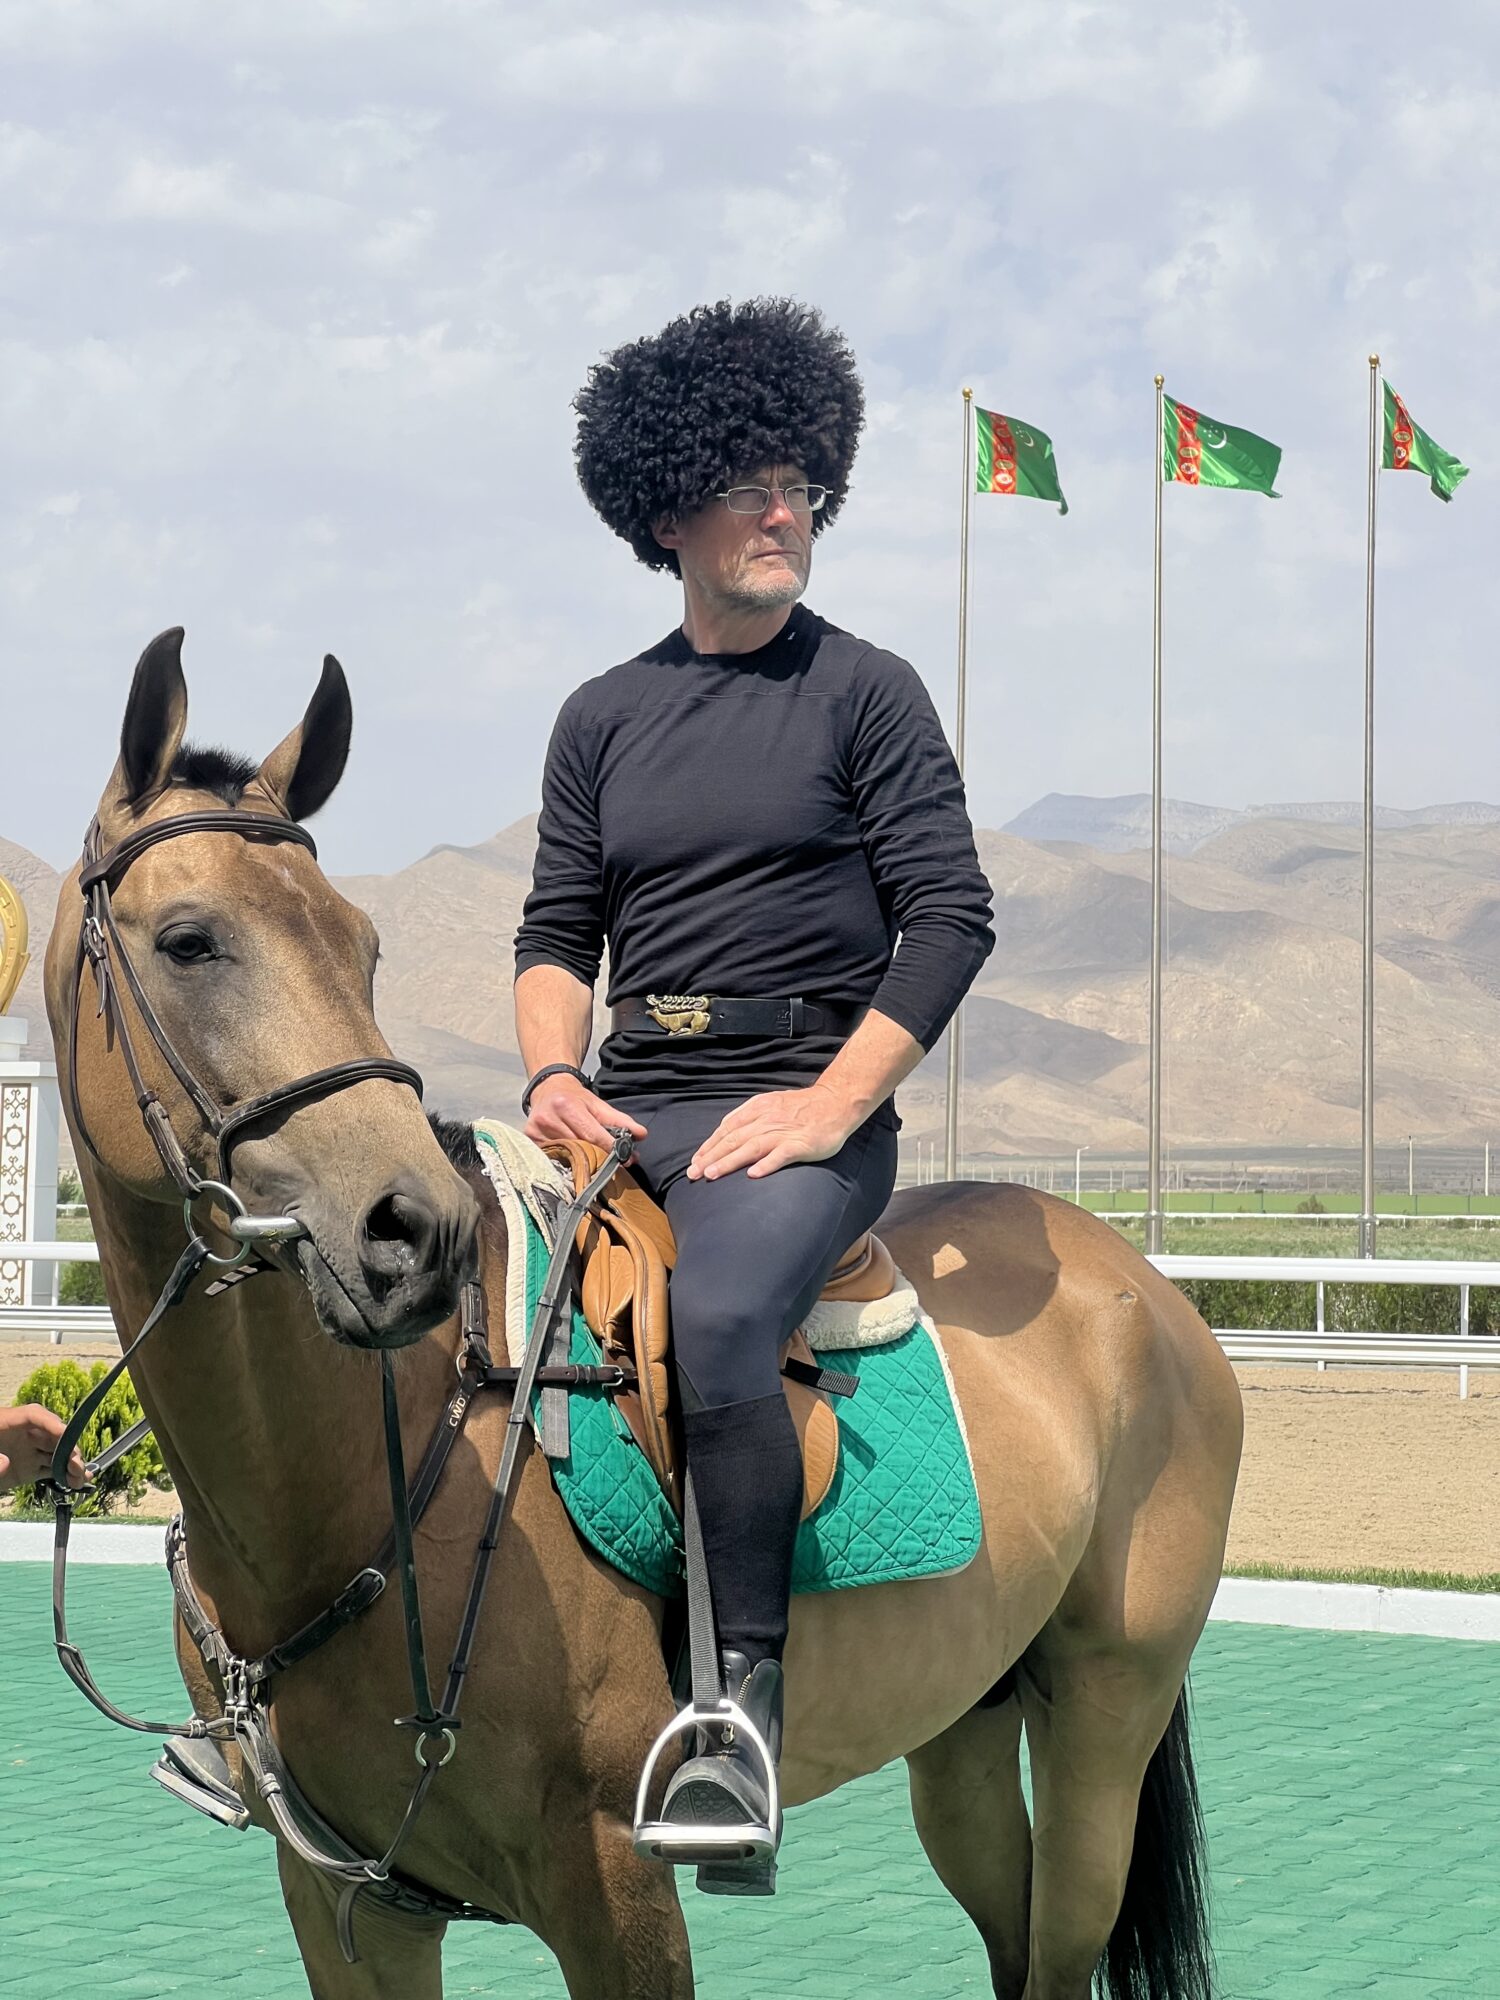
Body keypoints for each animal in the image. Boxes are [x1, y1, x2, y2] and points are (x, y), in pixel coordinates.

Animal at [44, 629, 1243, 2000]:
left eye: (362, 945)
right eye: (190, 939)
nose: (412, 1233)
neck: (366, 1484)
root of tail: (1142, 1286)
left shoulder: (614, 1884)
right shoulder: (349, 1900)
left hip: (1105, 1718)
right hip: (967, 1726)